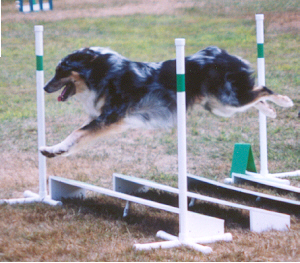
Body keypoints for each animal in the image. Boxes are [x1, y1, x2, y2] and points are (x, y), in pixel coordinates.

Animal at [39, 46, 292, 158]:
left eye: (60, 70)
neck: (102, 72)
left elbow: (77, 132)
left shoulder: (110, 117)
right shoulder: (102, 118)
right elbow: (77, 135)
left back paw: (285, 101)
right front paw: (54, 150)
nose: (43, 87)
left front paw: (55, 149)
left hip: (227, 101)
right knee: (255, 95)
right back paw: (269, 111)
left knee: (263, 89)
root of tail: (223, 53)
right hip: (220, 106)